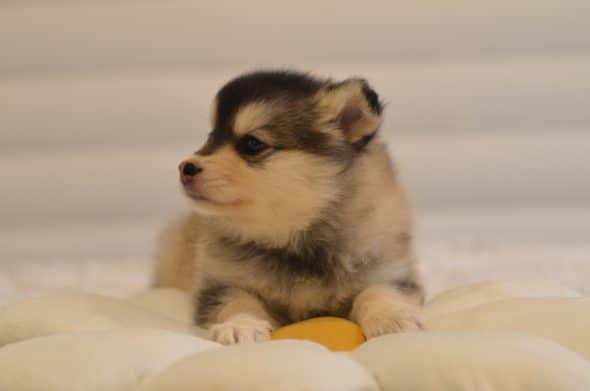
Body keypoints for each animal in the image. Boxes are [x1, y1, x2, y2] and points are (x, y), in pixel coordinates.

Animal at [154, 71, 426, 346]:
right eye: (211, 137)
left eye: (251, 144)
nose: (185, 168)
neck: (293, 239)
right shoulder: (220, 283)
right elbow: (237, 301)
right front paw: (240, 325)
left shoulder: (390, 271)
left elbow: (378, 291)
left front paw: (392, 317)